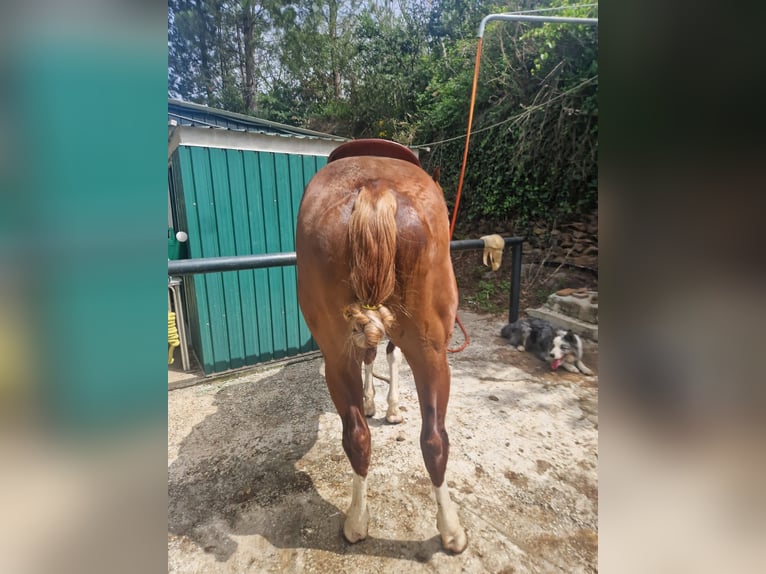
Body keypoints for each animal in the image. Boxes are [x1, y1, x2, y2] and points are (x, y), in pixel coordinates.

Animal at [296, 138, 468, 552]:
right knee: (431, 438)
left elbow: (373, 355)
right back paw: (449, 530)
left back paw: (359, 523)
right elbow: (387, 356)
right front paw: (389, 407)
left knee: (364, 436)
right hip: (431, 351)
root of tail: (374, 188)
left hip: (341, 354)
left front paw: (376, 403)